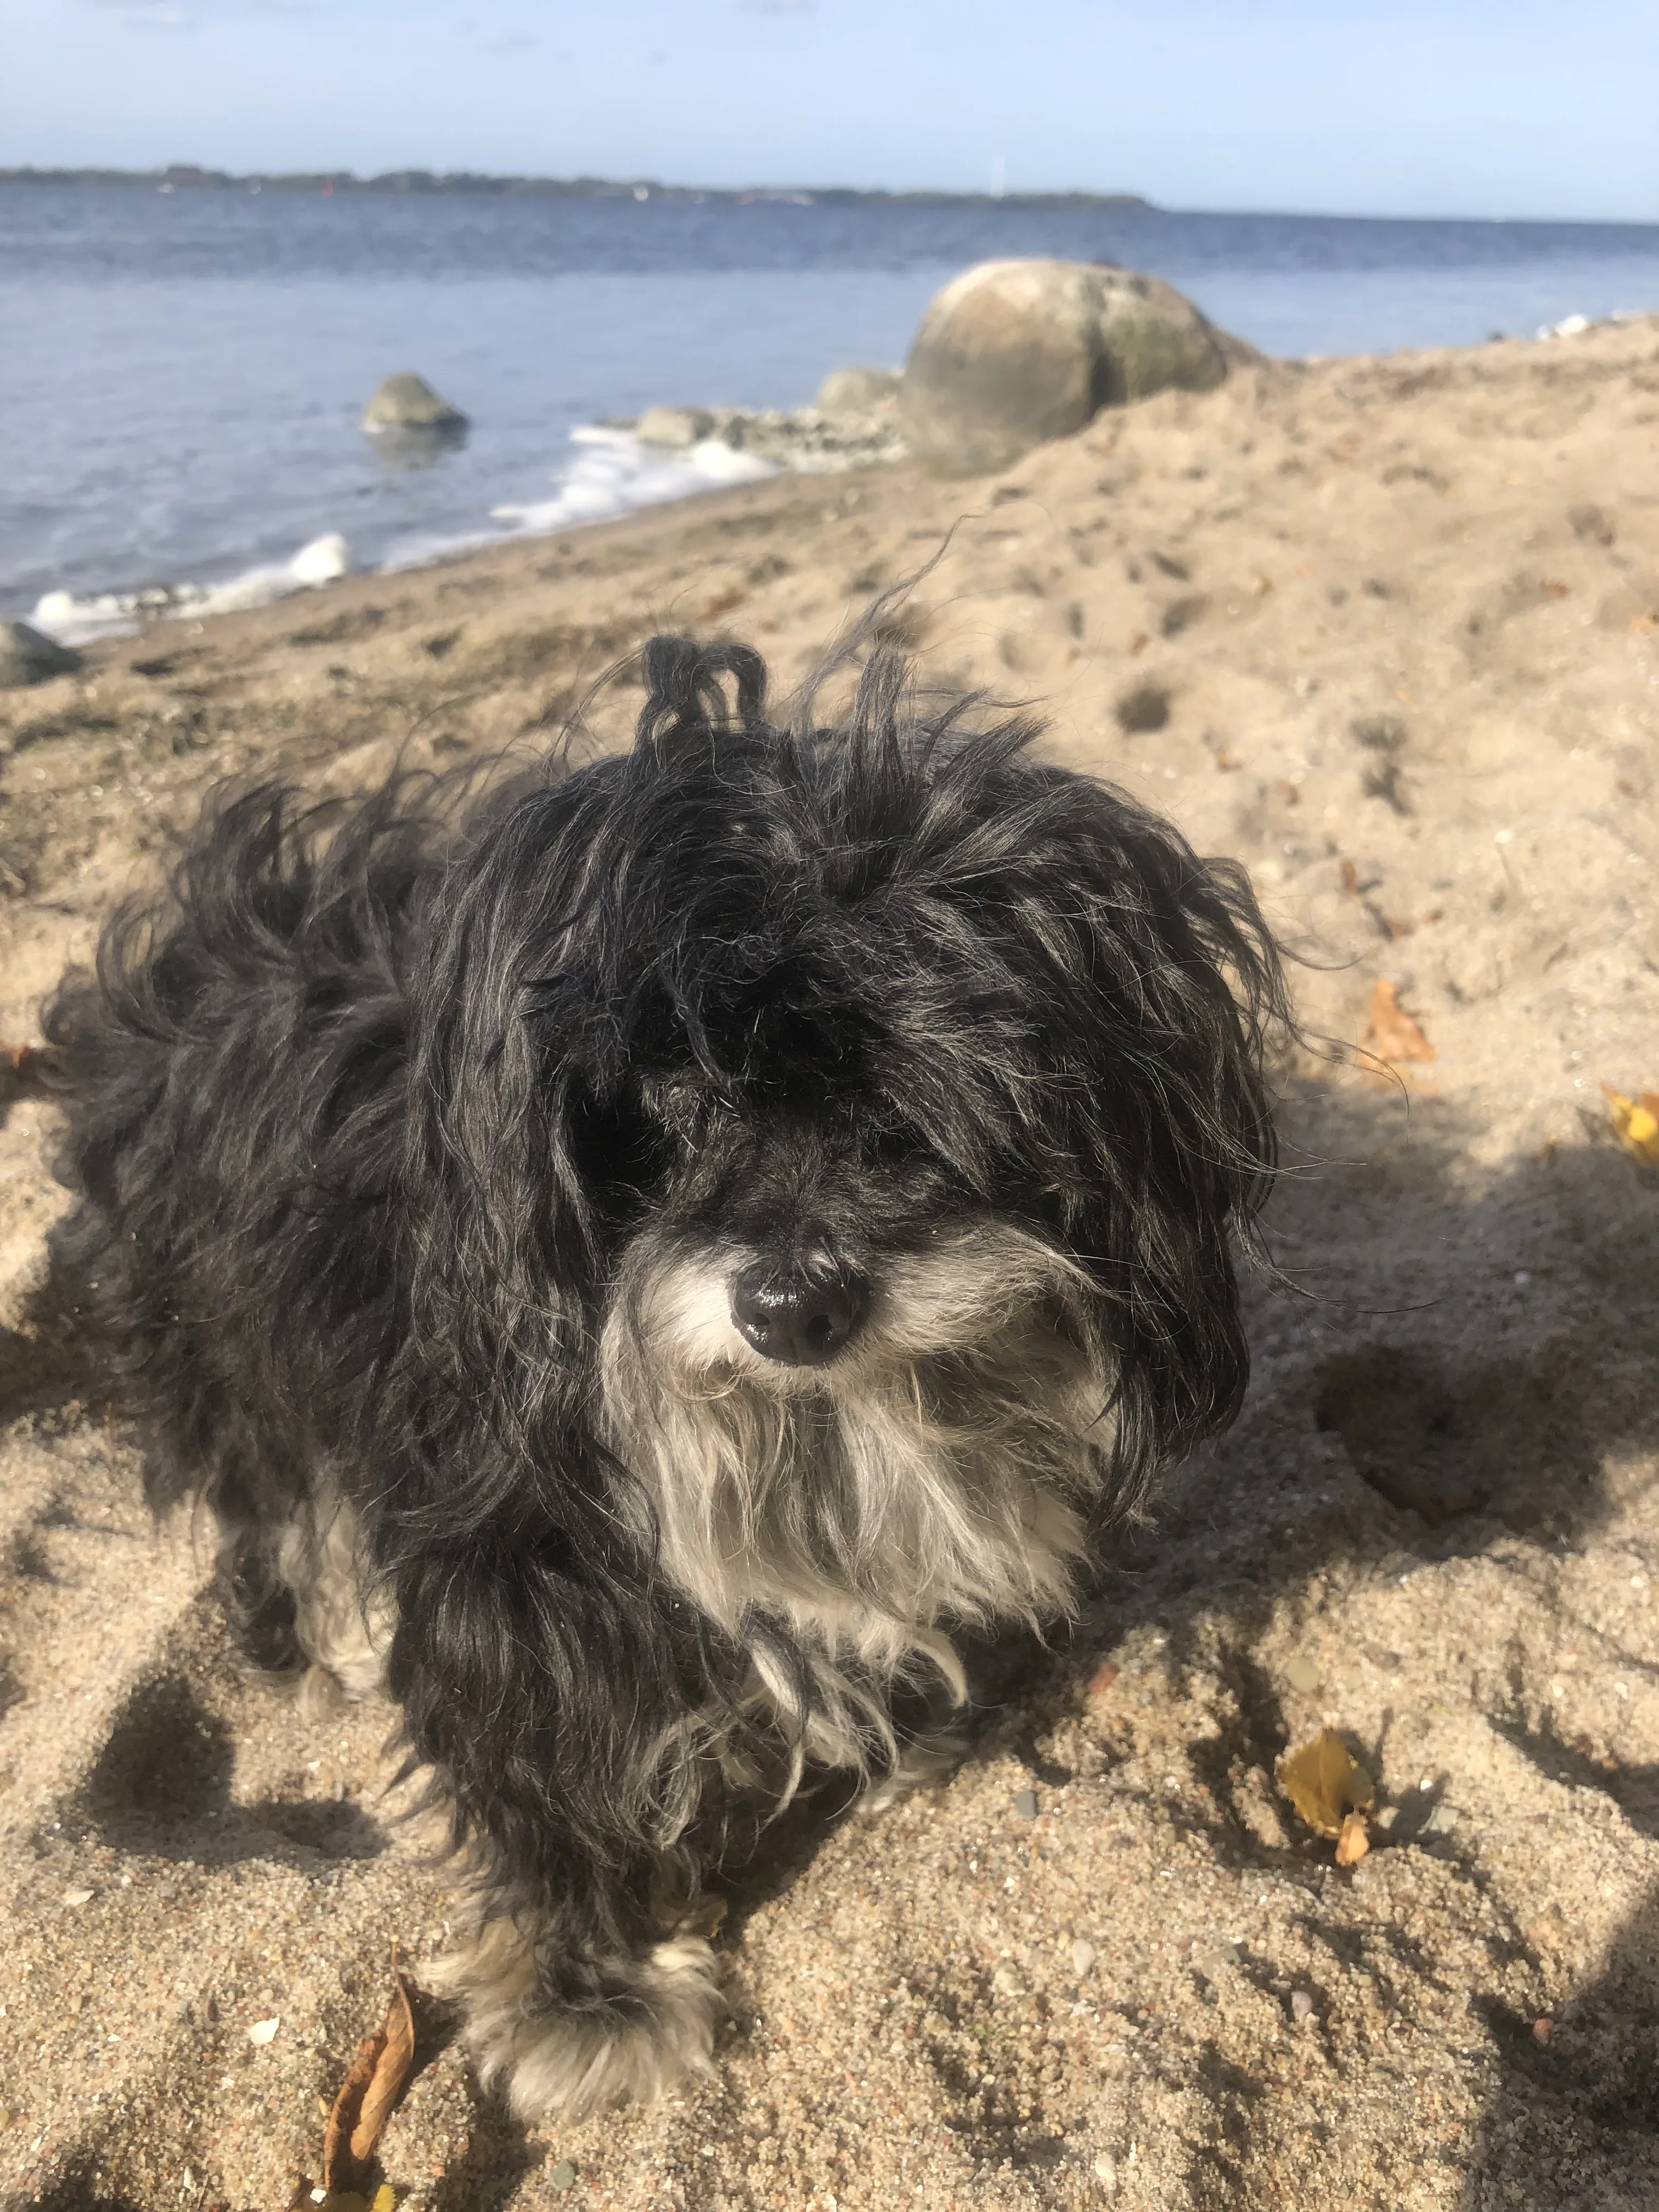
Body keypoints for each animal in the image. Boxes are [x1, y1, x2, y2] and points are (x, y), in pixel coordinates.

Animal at [42, 633, 1283, 2114]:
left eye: (912, 1095)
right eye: (662, 1104)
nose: (794, 1306)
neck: (826, 1421)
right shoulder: (514, 1567)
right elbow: (542, 1762)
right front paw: (590, 1988)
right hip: (224, 1352)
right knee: (279, 1513)